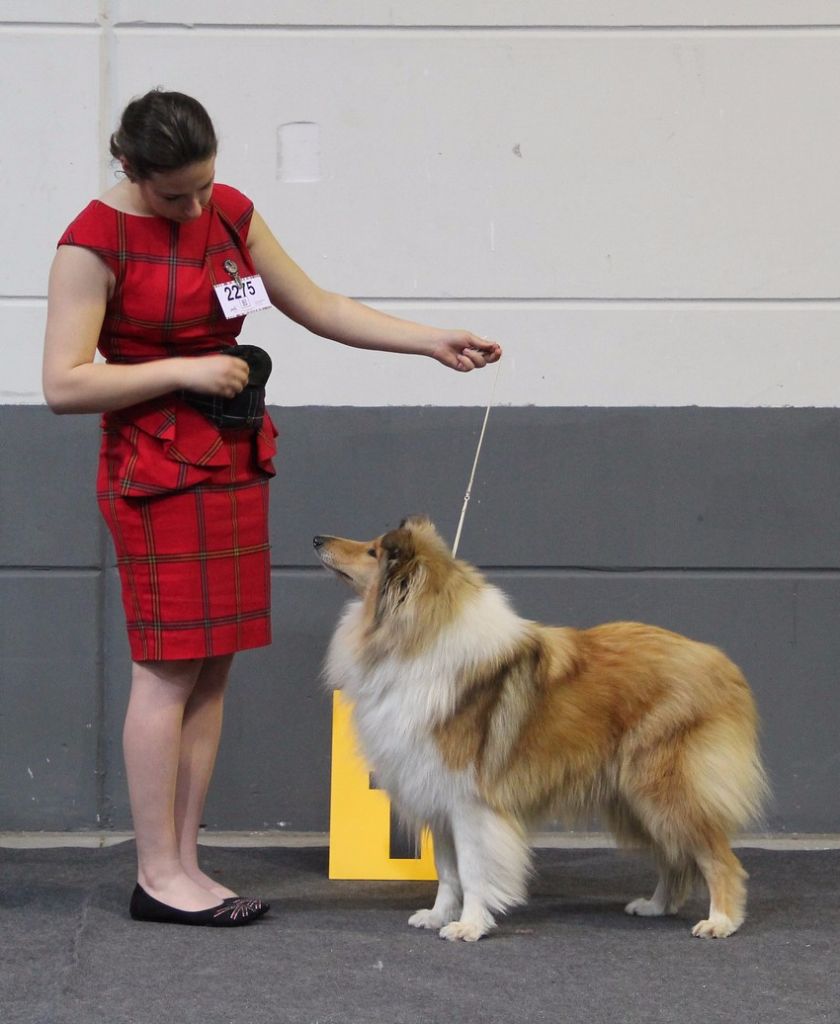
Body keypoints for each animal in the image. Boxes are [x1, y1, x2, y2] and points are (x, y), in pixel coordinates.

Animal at [313, 516, 766, 937]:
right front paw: (438, 915)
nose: (317, 539)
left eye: (373, 551)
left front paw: (468, 926)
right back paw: (656, 906)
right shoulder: (437, 794)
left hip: (665, 789)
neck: (416, 640)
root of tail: (723, 665)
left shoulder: (469, 801)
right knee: (675, 858)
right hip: (635, 799)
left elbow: (473, 870)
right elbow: (447, 870)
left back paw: (720, 921)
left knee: (719, 858)